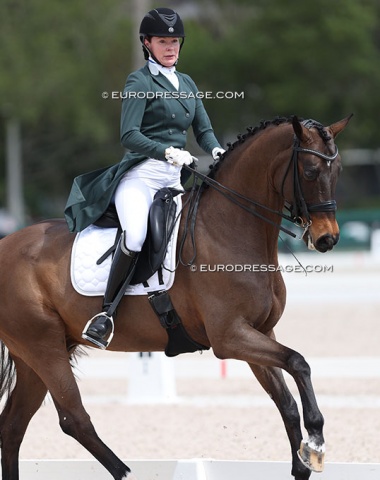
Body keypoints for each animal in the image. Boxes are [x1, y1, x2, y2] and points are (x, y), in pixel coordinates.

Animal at [0, 116, 350, 480]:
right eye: (310, 171)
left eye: (338, 169)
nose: (328, 239)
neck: (229, 228)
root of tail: (5, 243)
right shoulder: (230, 337)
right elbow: (299, 362)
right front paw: (316, 441)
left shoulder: (260, 332)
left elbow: (287, 401)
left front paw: (303, 459)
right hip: (44, 347)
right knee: (74, 418)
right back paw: (127, 472)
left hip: (35, 353)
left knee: (13, 426)